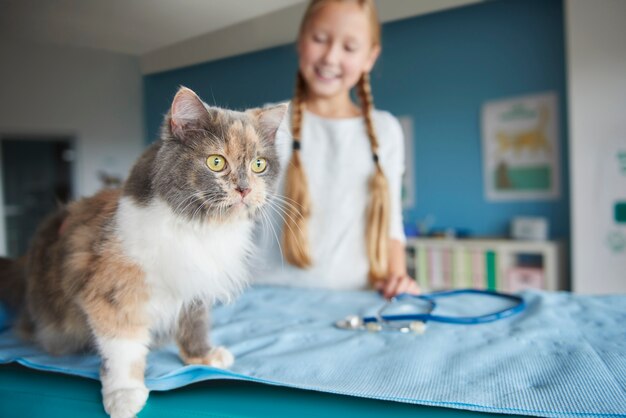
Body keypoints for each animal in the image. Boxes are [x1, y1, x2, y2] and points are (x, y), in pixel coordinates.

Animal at [0, 86, 286, 418]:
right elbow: (124, 348)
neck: (198, 228)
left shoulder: (194, 288)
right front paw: (124, 394)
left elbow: (195, 325)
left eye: (258, 165)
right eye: (216, 162)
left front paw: (201, 357)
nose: (244, 189)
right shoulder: (115, 293)